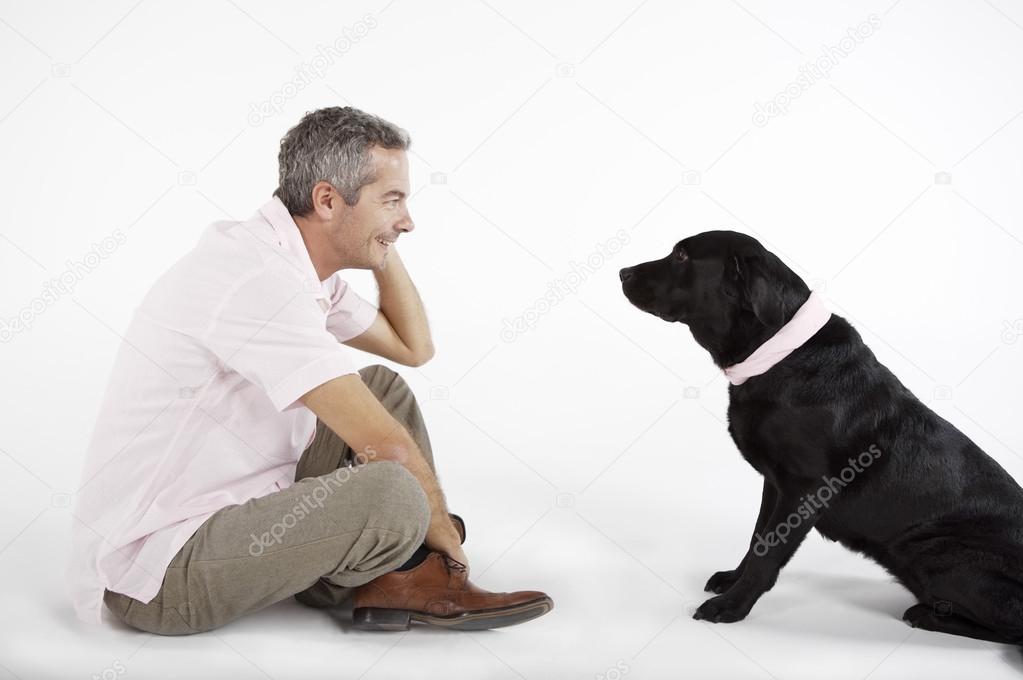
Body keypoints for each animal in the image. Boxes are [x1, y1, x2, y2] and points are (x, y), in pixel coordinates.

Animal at [613, 231, 1023, 646]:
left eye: (682, 255)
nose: (622, 272)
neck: (779, 354)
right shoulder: (775, 484)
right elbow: (758, 537)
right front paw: (731, 580)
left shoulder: (804, 488)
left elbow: (769, 551)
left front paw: (731, 606)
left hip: (935, 550)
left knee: (1011, 628)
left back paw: (923, 615)